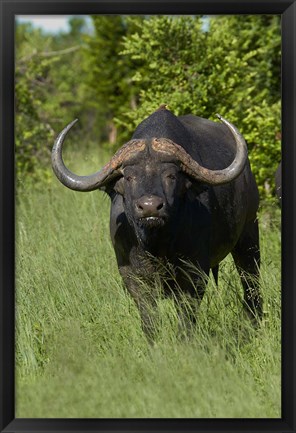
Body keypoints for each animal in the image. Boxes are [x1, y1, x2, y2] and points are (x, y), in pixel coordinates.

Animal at [51, 105, 262, 338]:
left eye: (171, 176)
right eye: (129, 177)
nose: (150, 206)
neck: (156, 245)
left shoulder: (195, 271)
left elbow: (186, 313)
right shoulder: (130, 274)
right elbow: (148, 314)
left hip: (249, 233)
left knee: (250, 279)